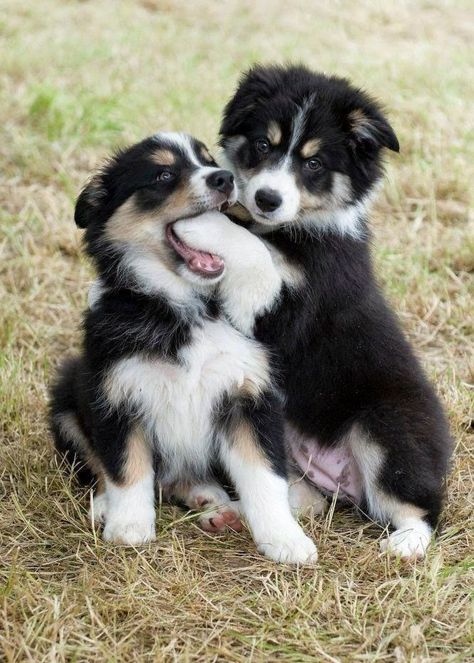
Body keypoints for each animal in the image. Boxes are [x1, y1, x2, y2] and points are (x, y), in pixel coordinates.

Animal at [49, 132, 318, 564]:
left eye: (209, 162)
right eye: (162, 175)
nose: (224, 178)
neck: (183, 306)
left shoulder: (248, 394)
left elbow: (263, 475)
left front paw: (286, 540)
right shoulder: (116, 393)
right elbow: (126, 466)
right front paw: (129, 528)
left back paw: (216, 506)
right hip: (67, 397)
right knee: (100, 464)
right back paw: (109, 506)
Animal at [218, 63, 452, 560]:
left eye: (314, 163)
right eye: (263, 144)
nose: (266, 199)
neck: (293, 229)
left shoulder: (290, 313)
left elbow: (252, 255)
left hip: (384, 427)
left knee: (421, 506)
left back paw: (405, 543)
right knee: (300, 497)